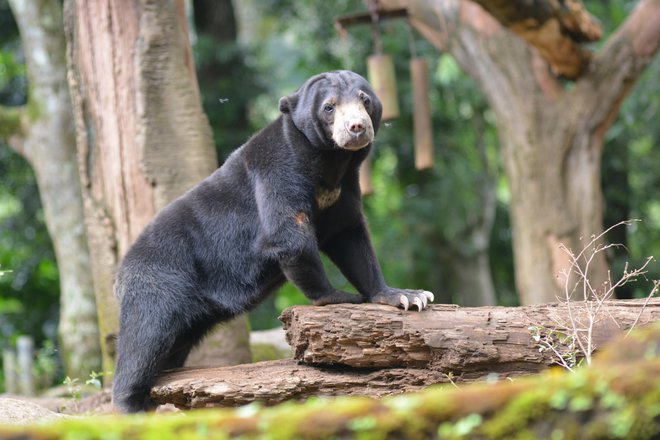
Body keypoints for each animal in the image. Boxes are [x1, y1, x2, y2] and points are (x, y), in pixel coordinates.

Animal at [113, 71, 434, 412]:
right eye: (329, 107)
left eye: (365, 99)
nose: (357, 127)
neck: (331, 161)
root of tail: (121, 273)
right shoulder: (278, 169)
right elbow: (288, 235)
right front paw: (341, 296)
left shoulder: (343, 189)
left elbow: (350, 238)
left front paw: (408, 296)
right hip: (160, 281)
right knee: (145, 338)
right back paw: (130, 403)